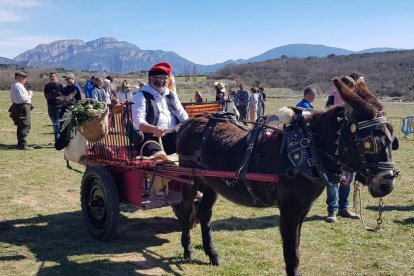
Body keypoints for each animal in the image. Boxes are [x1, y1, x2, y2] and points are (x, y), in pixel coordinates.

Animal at [174, 76, 398, 274]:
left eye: (392, 139)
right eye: (369, 142)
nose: (386, 184)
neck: (309, 151)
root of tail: (190, 123)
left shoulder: (302, 209)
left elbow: (296, 248)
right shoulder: (289, 210)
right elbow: (291, 254)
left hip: (211, 184)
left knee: (204, 213)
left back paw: (212, 254)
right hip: (190, 180)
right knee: (186, 210)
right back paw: (188, 249)